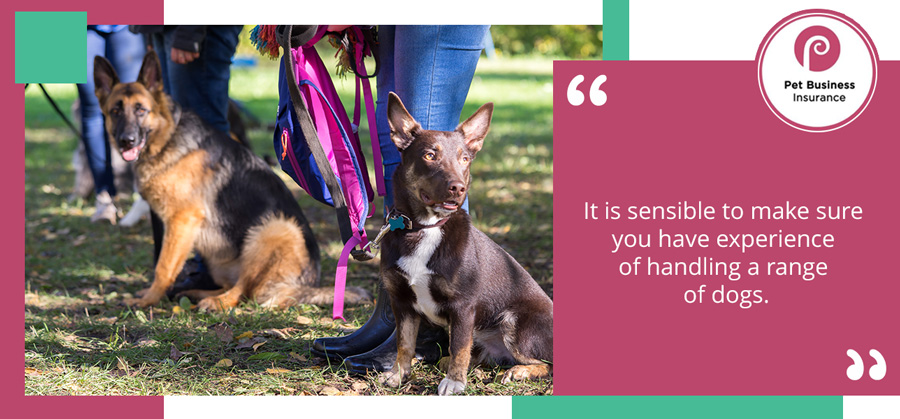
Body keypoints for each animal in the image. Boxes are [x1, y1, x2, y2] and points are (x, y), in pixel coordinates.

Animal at [94, 50, 370, 310]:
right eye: (115, 111)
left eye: (141, 110)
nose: (126, 140)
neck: (168, 138)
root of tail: (305, 285)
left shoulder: (181, 220)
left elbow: (163, 267)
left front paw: (148, 300)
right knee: (236, 286)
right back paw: (195, 293)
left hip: (274, 230)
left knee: (243, 291)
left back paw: (214, 303)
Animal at [376, 93, 552, 396]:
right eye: (429, 155)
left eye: (465, 158)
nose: (457, 187)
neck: (427, 227)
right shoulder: (402, 302)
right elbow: (405, 343)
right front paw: (398, 375)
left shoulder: (463, 306)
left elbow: (458, 346)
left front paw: (454, 382)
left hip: (514, 321)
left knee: (548, 364)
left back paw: (519, 371)